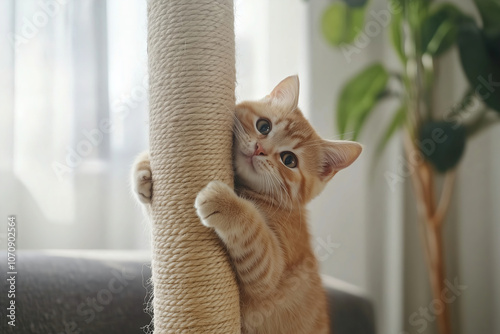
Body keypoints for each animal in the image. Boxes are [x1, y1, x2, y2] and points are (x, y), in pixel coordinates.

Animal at [132, 76, 360, 334]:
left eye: (289, 160)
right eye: (264, 126)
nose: (260, 149)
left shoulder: (270, 271)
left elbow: (251, 230)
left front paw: (223, 201)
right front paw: (144, 170)